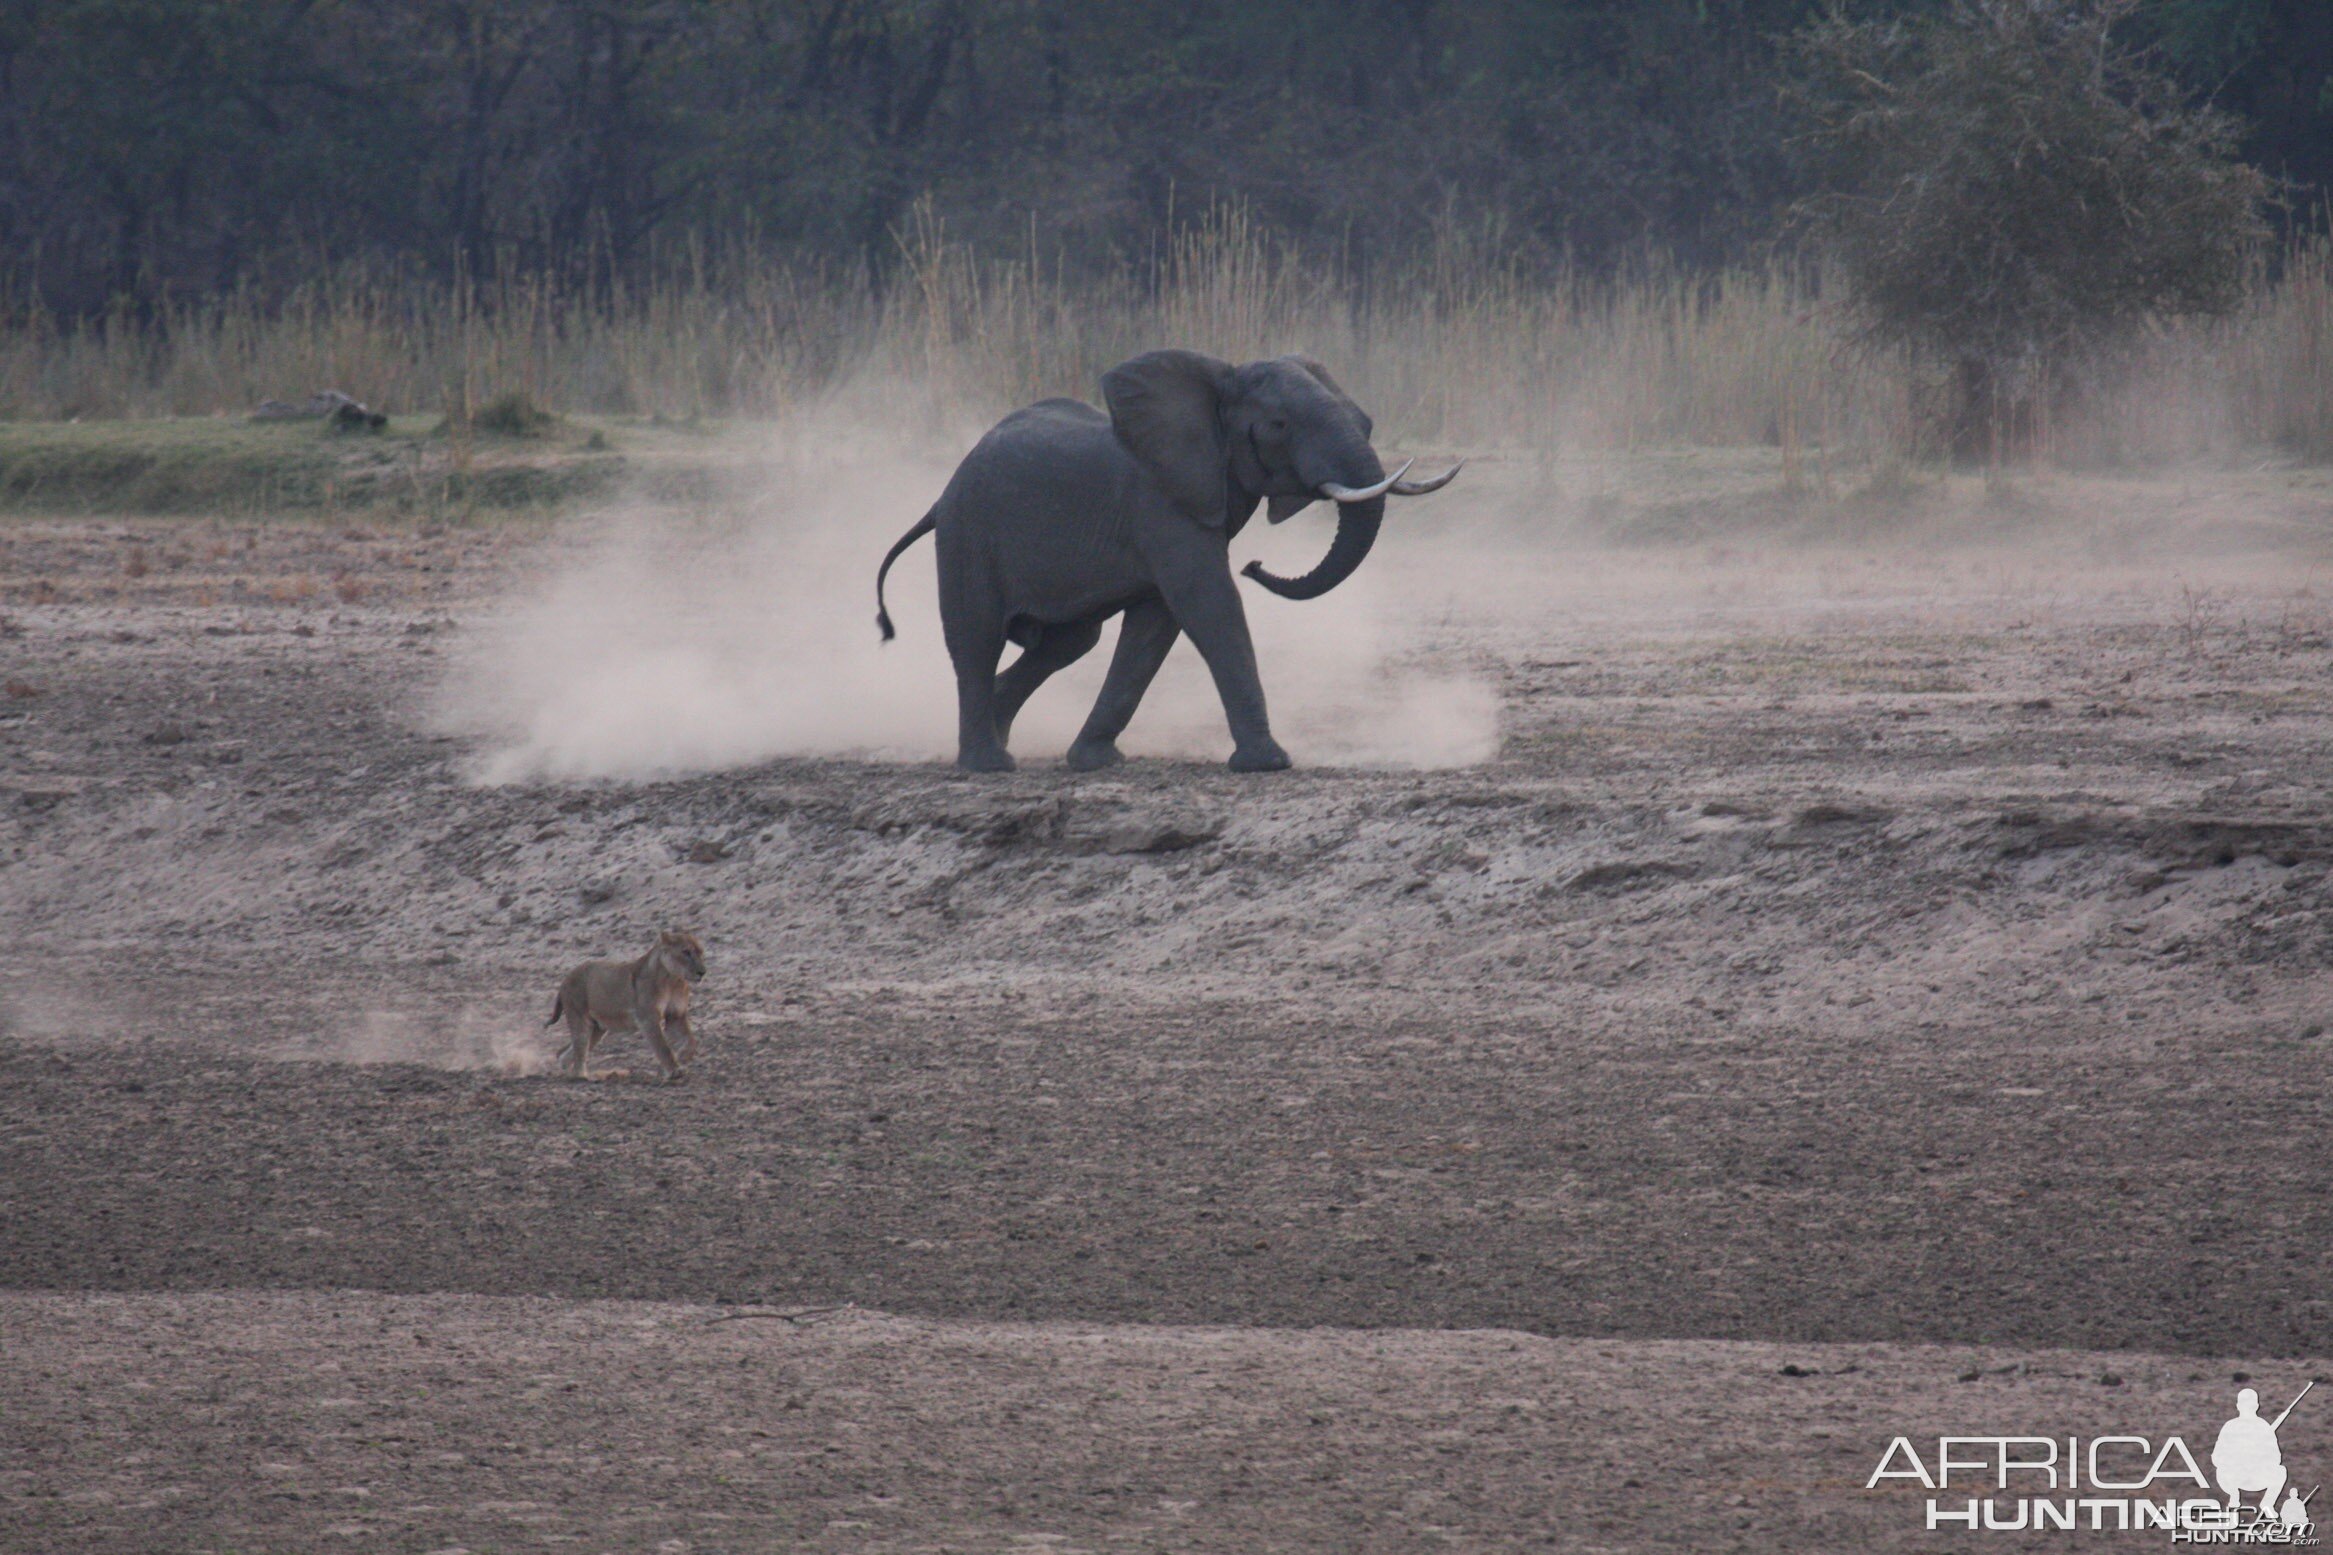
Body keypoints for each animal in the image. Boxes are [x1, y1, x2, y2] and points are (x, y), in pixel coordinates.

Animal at [548, 937, 709, 1081]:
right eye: (686, 952)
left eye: (700, 952)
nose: (702, 972)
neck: (673, 980)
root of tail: (566, 978)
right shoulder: (648, 1019)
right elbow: (662, 1047)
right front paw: (675, 1071)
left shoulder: (676, 1015)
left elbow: (690, 1040)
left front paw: (684, 1056)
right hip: (579, 1016)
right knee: (579, 1048)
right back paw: (581, 1076)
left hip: (597, 1028)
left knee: (564, 1052)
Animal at [877, 347, 1455, 774]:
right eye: (1279, 425)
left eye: (1365, 422)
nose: (1255, 565)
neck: (1218, 383)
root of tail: (940, 496)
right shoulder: (1162, 503)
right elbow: (1208, 603)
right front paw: (1269, 763)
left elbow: (1156, 625)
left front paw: (1096, 762)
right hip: (967, 536)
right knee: (976, 637)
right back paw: (988, 764)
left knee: (1069, 643)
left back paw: (1002, 735)